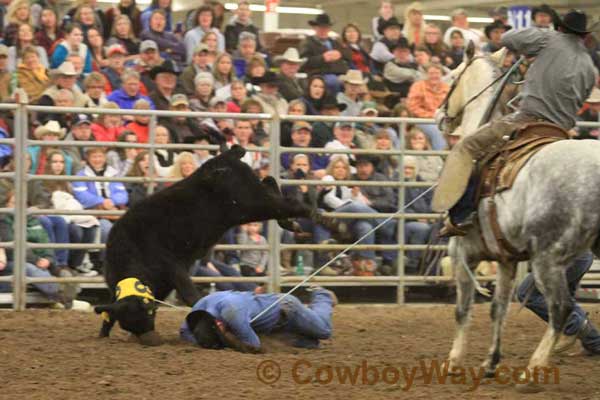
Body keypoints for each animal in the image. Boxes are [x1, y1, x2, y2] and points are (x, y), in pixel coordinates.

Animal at [440, 46, 600, 388]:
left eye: (452, 75)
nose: (441, 115)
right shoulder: (506, 259)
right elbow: (497, 309)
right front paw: (490, 362)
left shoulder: (462, 253)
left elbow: (462, 309)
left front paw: (453, 362)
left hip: (547, 260)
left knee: (561, 307)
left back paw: (534, 369)